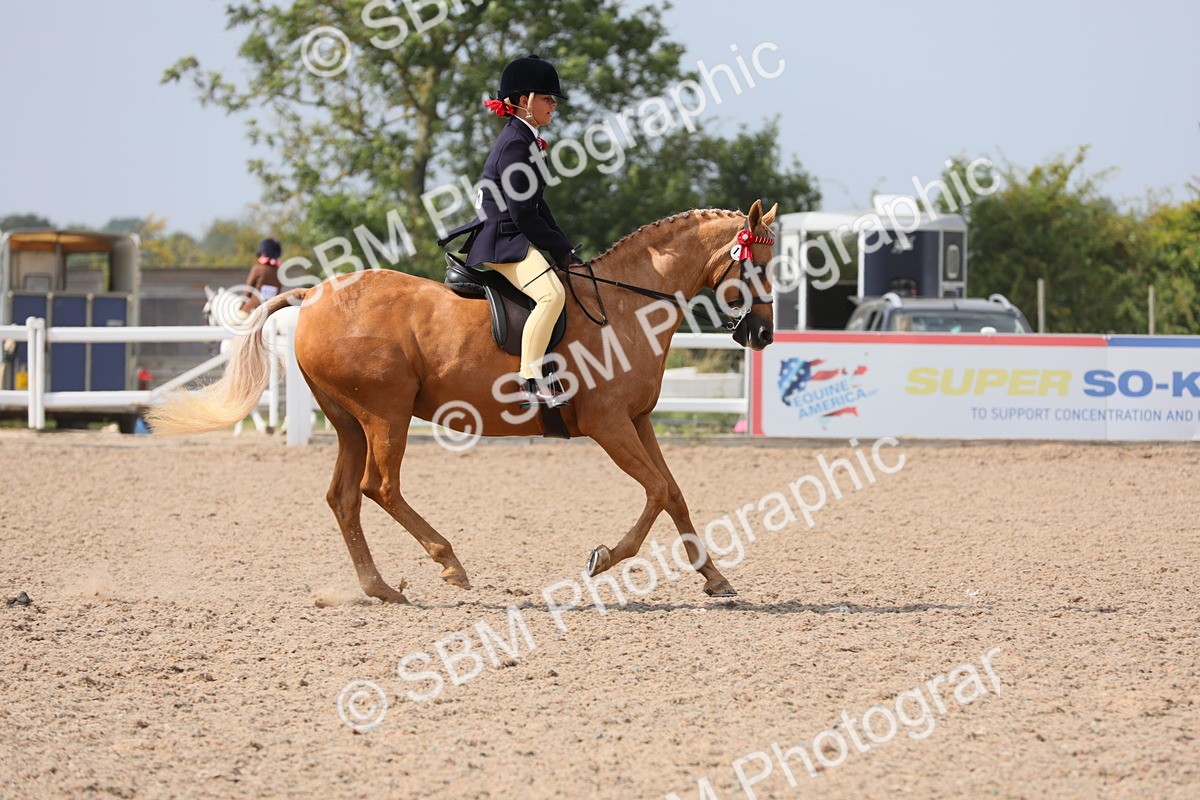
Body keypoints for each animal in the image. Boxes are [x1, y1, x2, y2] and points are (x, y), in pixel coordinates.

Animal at [149, 200, 779, 603]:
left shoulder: (638, 421)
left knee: (343, 497)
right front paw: (604, 558)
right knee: (379, 488)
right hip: (386, 415)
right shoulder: (609, 425)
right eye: (761, 265)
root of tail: (317, 293)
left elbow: (673, 493)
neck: (627, 305)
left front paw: (715, 578)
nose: (762, 335)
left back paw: (380, 588)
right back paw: (449, 564)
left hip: (349, 421)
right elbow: (654, 492)